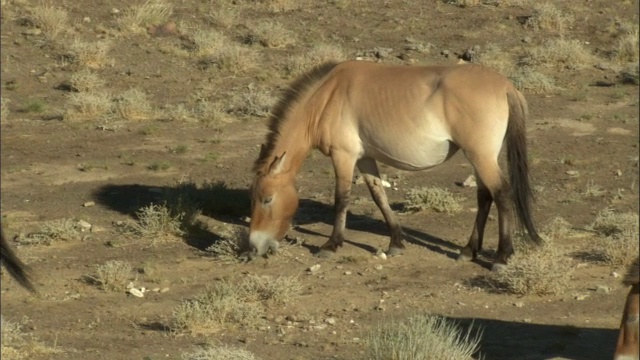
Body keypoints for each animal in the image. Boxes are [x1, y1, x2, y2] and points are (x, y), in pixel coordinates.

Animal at [250, 59, 540, 270]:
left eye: (267, 199)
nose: (253, 247)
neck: (327, 97)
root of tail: (506, 86)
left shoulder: (343, 156)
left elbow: (341, 199)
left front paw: (331, 245)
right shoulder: (365, 158)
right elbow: (379, 195)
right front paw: (396, 243)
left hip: (481, 156)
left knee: (501, 194)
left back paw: (501, 257)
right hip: (479, 158)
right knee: (484, 197)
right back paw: (468, 251)